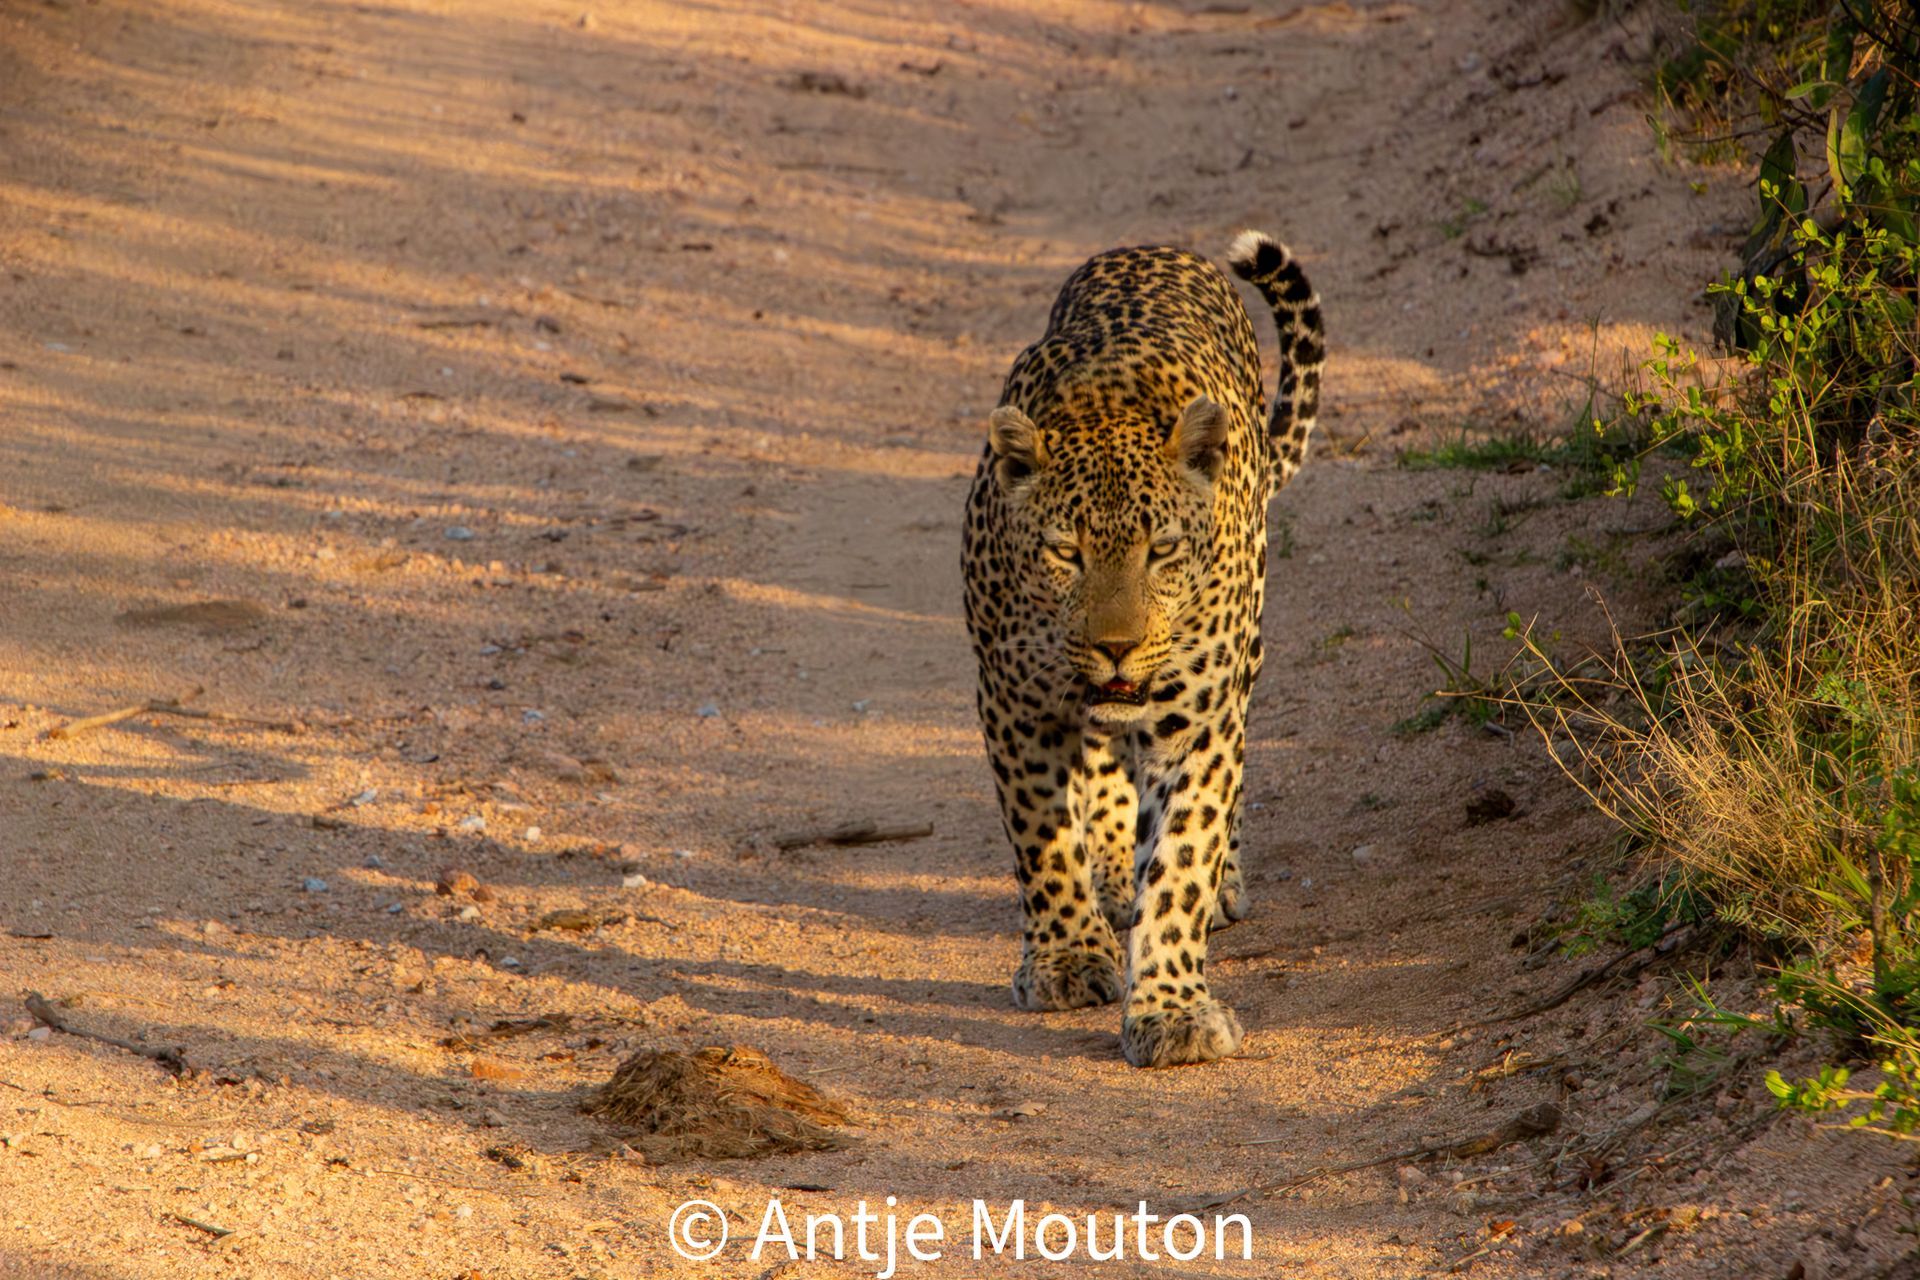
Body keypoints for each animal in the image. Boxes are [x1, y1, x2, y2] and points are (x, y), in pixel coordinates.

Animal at [960, 230, 1323, 1068]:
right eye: (1066, 553)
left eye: (1162, 551)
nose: (1117, 647)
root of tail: (1153, 245)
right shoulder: (1014, 703)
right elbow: (1043, 838)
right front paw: (1066, 957)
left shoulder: (1198, 722)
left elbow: (1182, 858)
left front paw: (1173, 1009)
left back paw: (1218, 882)